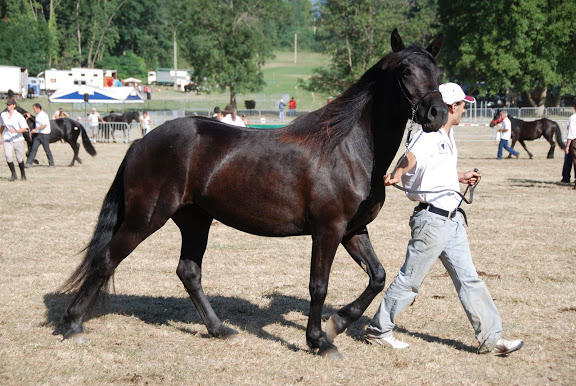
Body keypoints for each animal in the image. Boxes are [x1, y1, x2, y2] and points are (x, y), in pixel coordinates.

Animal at [58, 30, 448, 358]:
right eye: (405, 71)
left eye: (437, 70)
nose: (437, 113)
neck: (347, 148)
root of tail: (141, 142)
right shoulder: (328, 230)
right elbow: (318, 285)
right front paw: (319, 341)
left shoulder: (353, 230)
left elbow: (378, 276)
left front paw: (337, 323)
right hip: (145, 218)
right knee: (106, 259)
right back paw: (73, 323)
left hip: (195, 221)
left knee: (188, 272)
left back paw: (219, 329)